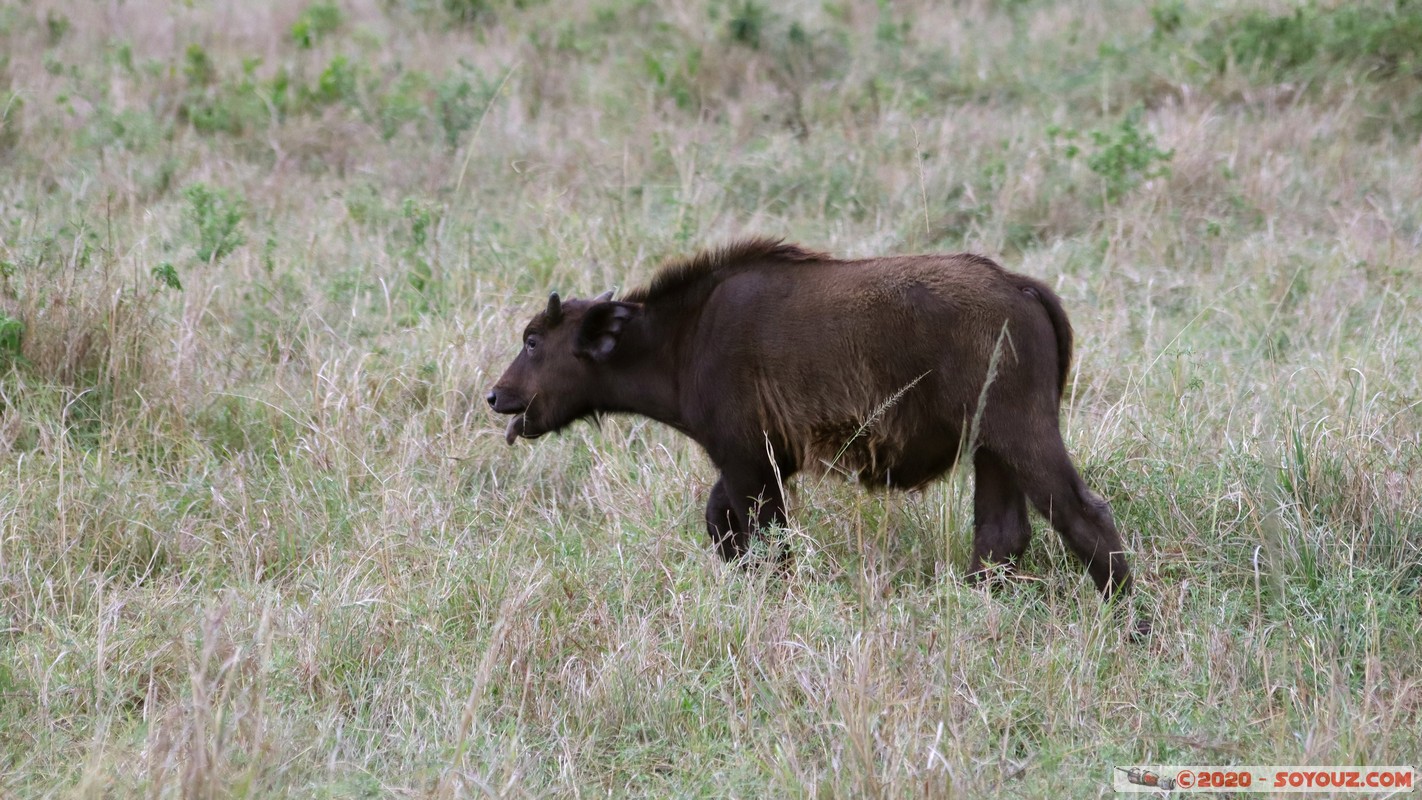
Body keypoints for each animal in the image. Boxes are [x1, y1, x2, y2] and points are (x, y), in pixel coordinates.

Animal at [494, 237, 1137, 613]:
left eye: (534, 340)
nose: (496, 396)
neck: (685, 335)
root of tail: (1021, 286)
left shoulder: (749, 466)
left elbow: (763, 540)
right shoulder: (755, 468)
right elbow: (722, 523)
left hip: (1022, 438)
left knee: (1084, 516)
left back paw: (1131, 624)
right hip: (993, 453)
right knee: (1001, 534)